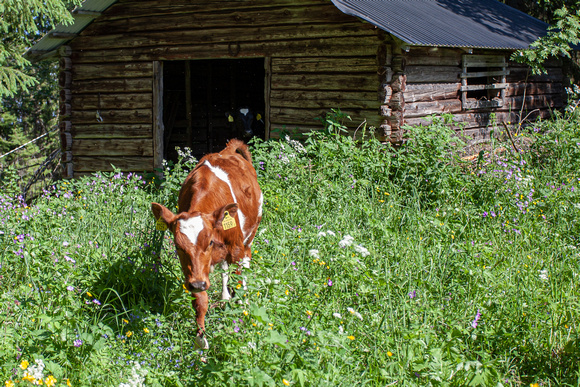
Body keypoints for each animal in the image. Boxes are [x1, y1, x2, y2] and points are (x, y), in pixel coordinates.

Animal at [151, 140, 262, 352]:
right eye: (177, 246)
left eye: (209, 241)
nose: (198, 284)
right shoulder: (195, 272)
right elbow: (200, 301)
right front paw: (200, 340)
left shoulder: (235, 249)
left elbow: (238, 280)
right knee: (225, 269)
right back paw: (225, 297)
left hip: (249, 238)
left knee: (245, 266)